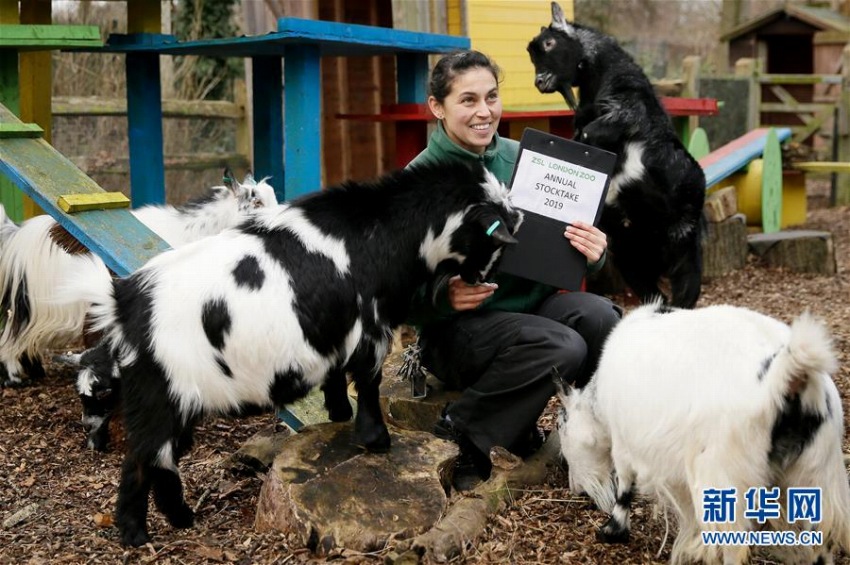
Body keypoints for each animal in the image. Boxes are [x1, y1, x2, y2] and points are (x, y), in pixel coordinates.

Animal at [63, 160, 520, 548]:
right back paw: (137, 533)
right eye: (494, 237)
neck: (380, 233)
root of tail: (124, 301)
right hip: (159, 395)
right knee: (143, 459)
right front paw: (375, 440)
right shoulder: (372, 331)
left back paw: (178, 520)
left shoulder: (334, 330)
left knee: (159, 459)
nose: (483, 281)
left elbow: (337, 376)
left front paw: (337, 415)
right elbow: (368, 384)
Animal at [528, 1, 704, 308]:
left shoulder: (626, 108)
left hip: (685, 248)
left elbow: (590, 134)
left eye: (550, 43)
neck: (601, 71)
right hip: (630, 258)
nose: (539, 81)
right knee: (657, 299)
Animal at [556, 302, 848, 564]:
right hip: (815, 473)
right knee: (819, 544)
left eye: (561, 425)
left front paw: (612, 531)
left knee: (734, 544)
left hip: (727, 474)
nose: (575, 489)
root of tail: (789, 376)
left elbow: (625, 485)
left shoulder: (623, 439)